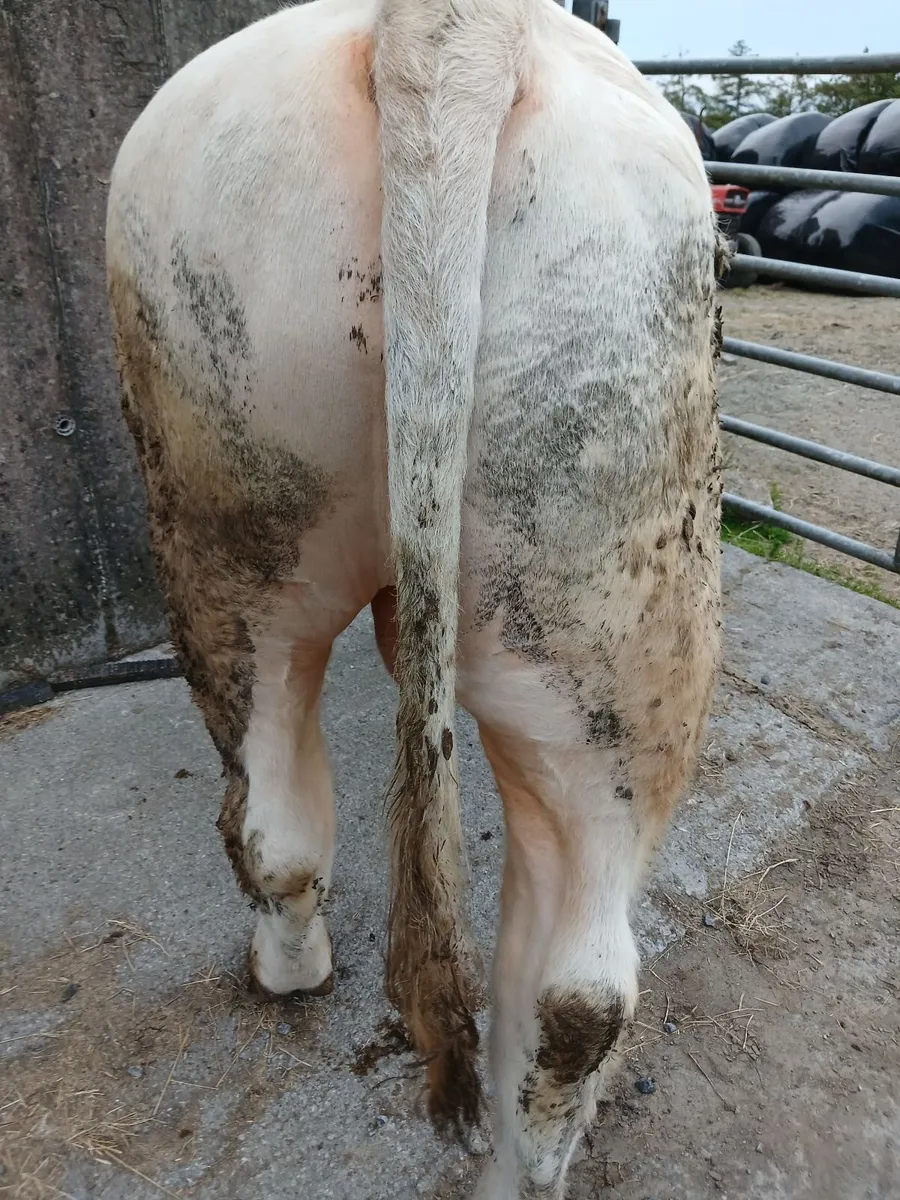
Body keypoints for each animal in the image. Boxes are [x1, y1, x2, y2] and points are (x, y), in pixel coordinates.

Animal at [106, 0, 723, 1194]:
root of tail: (449, 32)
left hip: (228, 547)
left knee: (271, 812)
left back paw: (289, 968)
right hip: (606, 621)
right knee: (576, 988)